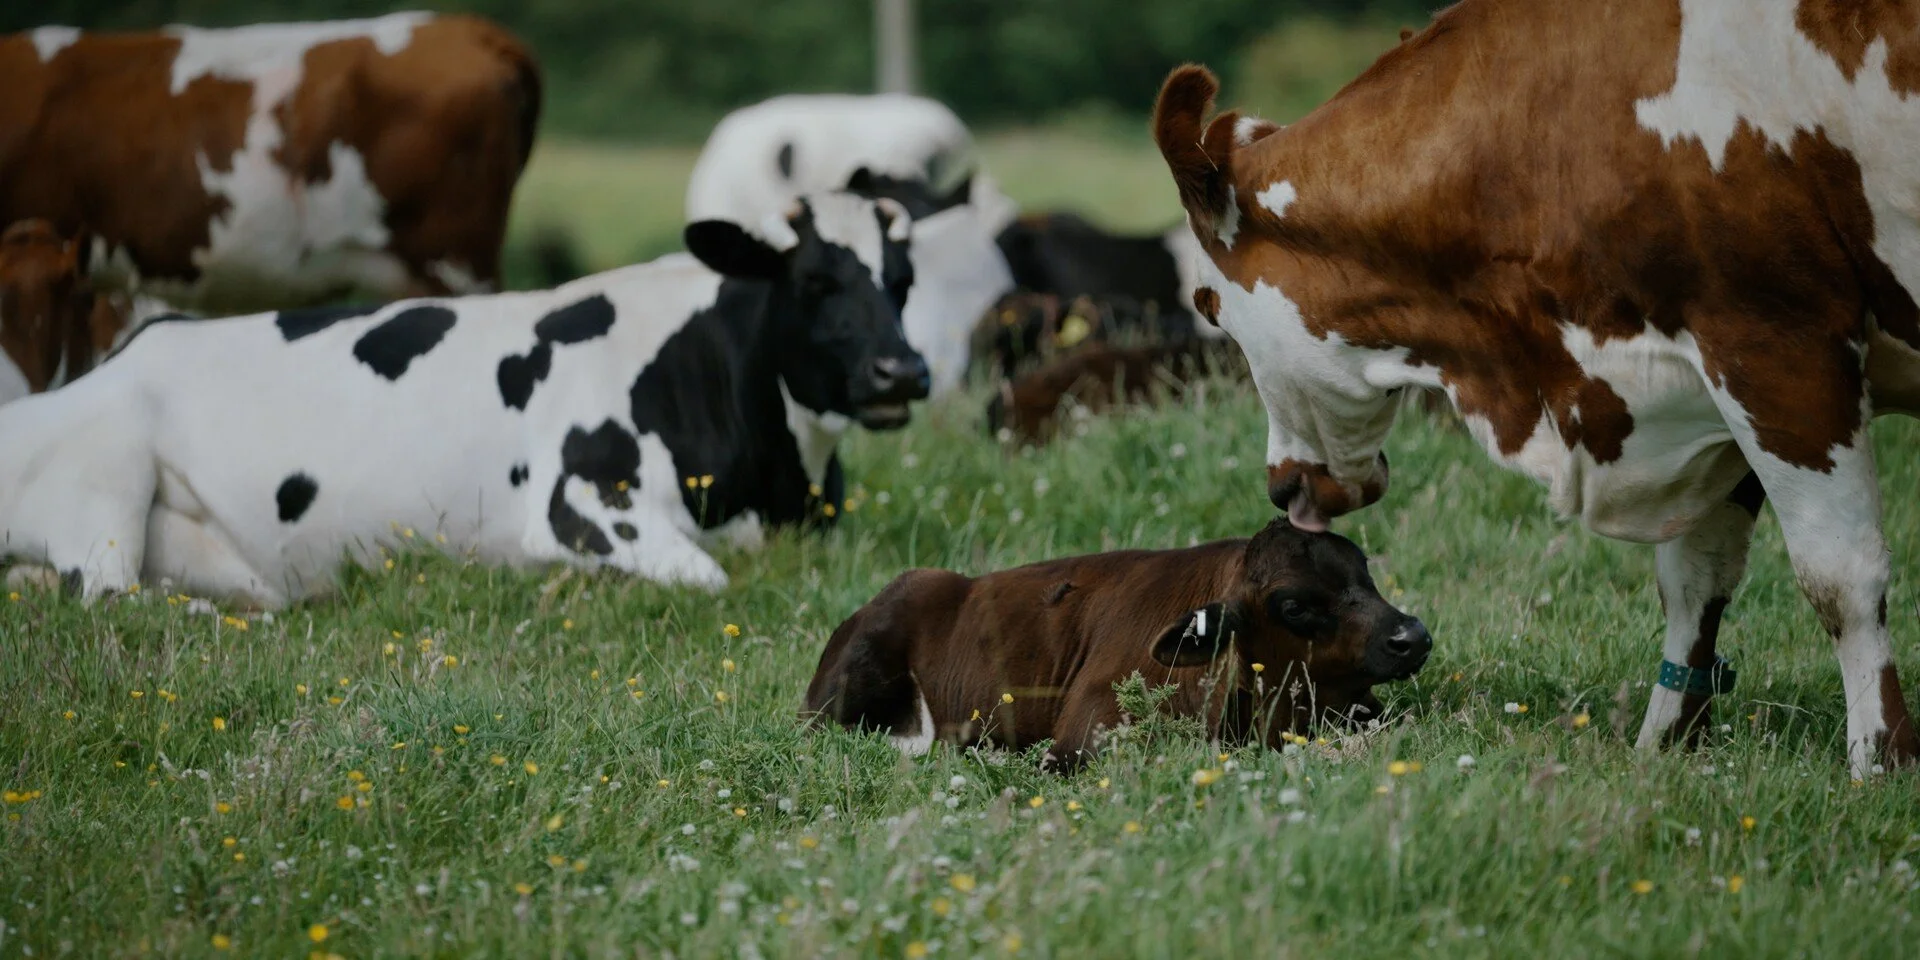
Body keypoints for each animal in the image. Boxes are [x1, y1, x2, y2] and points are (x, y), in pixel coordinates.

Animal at [1152, 0, 1920, 778]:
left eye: (1210, 305)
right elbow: (1694, 583)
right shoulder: (1706, 389)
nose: (1281, 486)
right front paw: (1666, 745)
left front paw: (1880, 763)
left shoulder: (1776, 344)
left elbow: (1840, 579)